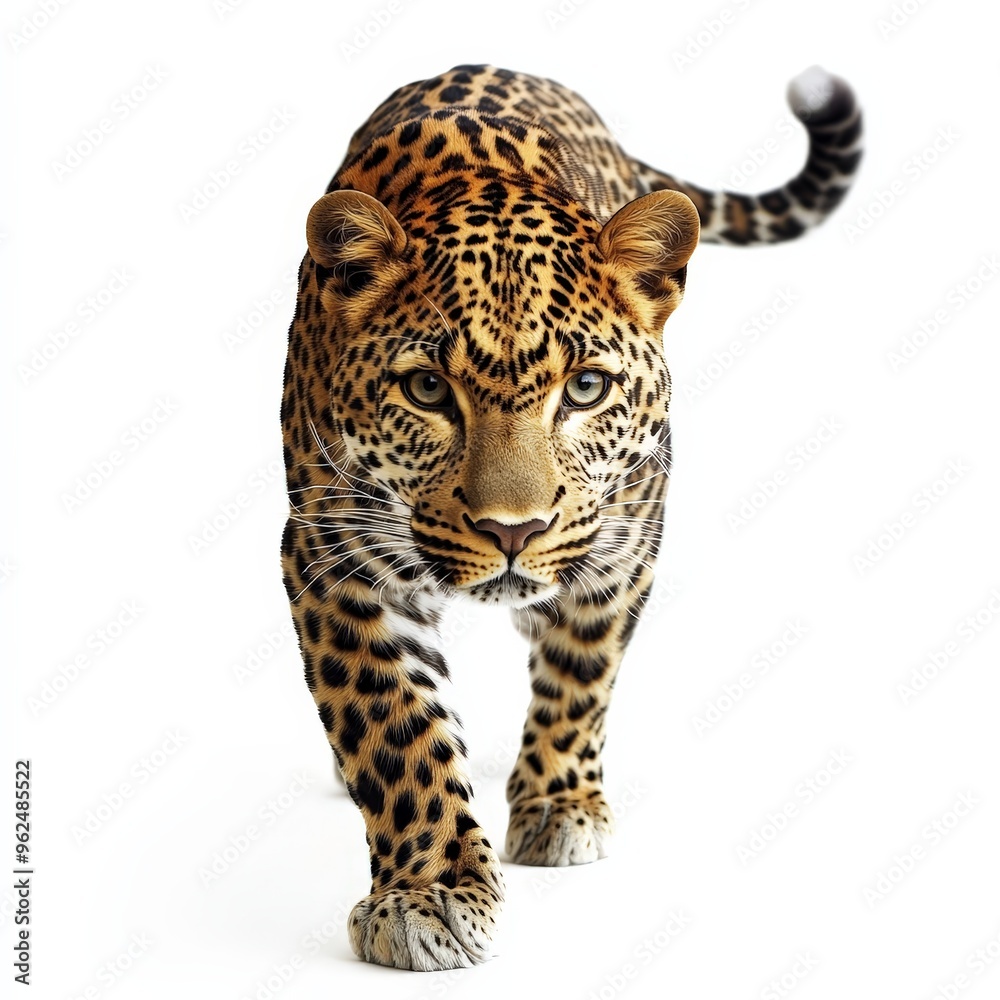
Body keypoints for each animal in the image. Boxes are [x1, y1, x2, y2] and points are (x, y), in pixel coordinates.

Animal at [280, 63, 862, 971]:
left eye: (585, 388)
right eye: (427, 389)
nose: (512, 531)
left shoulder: (625, 547)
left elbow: (581, 677)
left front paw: (559, 804)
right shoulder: (331, 561)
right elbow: (396, 729)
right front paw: (429, 895)